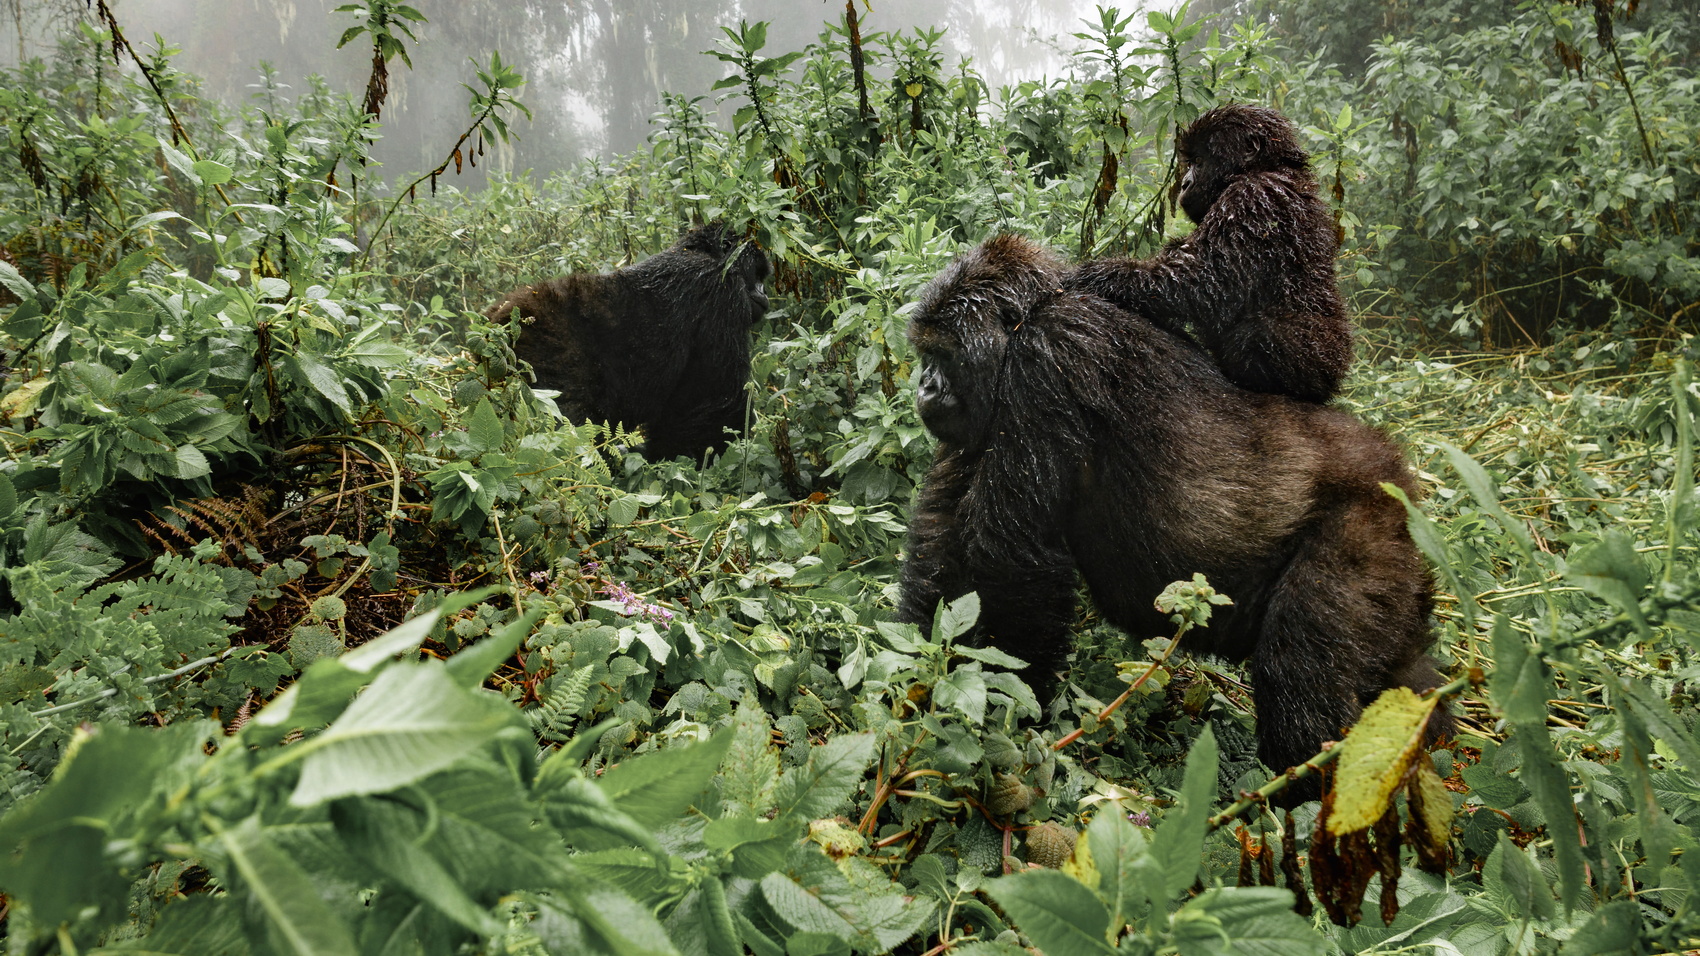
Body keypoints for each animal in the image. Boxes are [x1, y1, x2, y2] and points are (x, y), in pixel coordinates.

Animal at [479, 222, 771, 462]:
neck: (701, 251)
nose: (765, 294)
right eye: (757, 274)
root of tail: (497, 321)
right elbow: (715, 399)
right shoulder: (721, 292)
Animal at [904, 234, 1448, 785]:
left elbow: (1010, 558)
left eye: (944, 355)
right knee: (1398, 670)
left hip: (1369, 520)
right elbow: (941, 538)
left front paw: (1005, 724)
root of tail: (1400, 474)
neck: (1035, 312)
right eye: (925, 353)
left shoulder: (1049, 356)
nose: (924, 386)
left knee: (1300, 675)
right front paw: (914, 696)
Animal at [1074, 104, 1353, 401]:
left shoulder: (1252, 197)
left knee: (1259, 331)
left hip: (1322, 358)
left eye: (1198, 161)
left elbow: (1203, 281)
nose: (1185, 184)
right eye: (1189, 163)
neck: (1268, 166)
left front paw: (1099, 275)